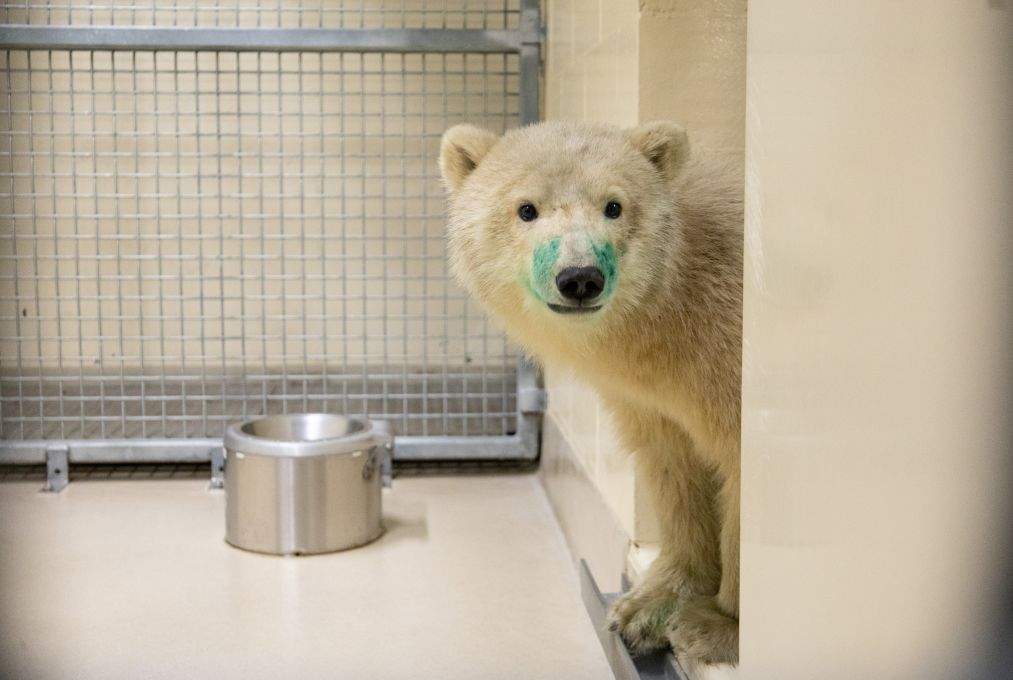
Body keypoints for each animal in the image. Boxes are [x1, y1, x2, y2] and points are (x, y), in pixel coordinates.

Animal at [438, 120, 743, 666]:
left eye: (614, 206)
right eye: (526, 208)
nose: (579, 278)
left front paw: (714, 626)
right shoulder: (654, 397)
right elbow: (675, 467)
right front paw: (646, 608)